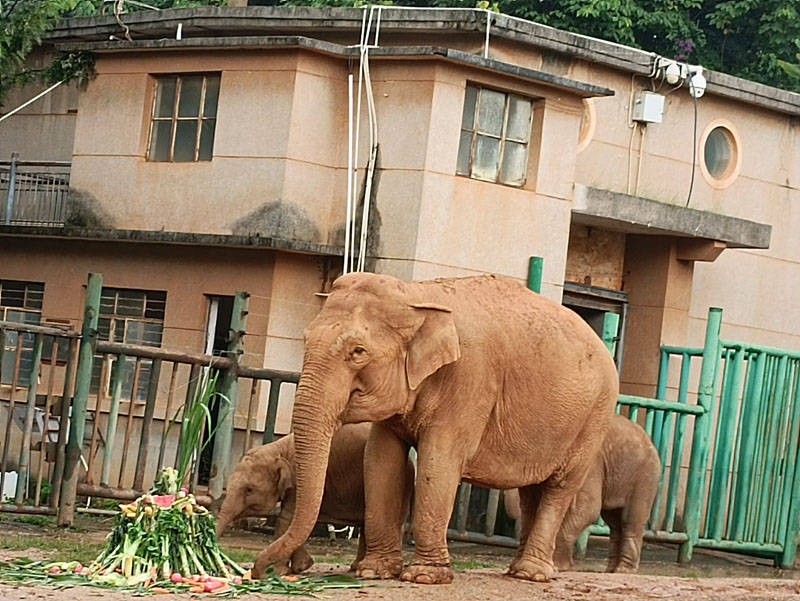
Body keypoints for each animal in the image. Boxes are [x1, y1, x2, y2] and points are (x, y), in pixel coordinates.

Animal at [216, 422, 416, 572]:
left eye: (249, 490)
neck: (278, 449)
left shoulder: (298, 481)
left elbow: (286, 519)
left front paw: (283, 571)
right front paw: (302, 566)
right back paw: (356, 567)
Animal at [255, 270, 620, 580]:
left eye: (357, 351)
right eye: (304, 340)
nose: (260, 572)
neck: (417, 294)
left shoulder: (470, 380)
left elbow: (439, 463)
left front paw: (423, 577)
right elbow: (381, 461)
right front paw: (374, 572)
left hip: (594, 418)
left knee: (559, 486)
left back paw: (531, 574)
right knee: (532, 490)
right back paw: (517, 570)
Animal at [510, 412, 660, 572]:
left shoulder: (589, 463)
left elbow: (587, 510)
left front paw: (557, 566)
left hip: (645, 478)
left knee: (630, 521)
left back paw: (623, 571)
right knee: (614, 522)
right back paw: (610, 570)